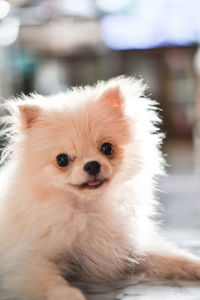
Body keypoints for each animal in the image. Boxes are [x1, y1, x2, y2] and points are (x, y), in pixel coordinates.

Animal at [0, 76, 200, 298]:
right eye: (62, 160)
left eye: (107, 148)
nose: (92, 165)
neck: (87, 209)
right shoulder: (27, 263)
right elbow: (50, 283)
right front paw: (70, 295)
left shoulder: (127, 250)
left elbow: (173, 257)